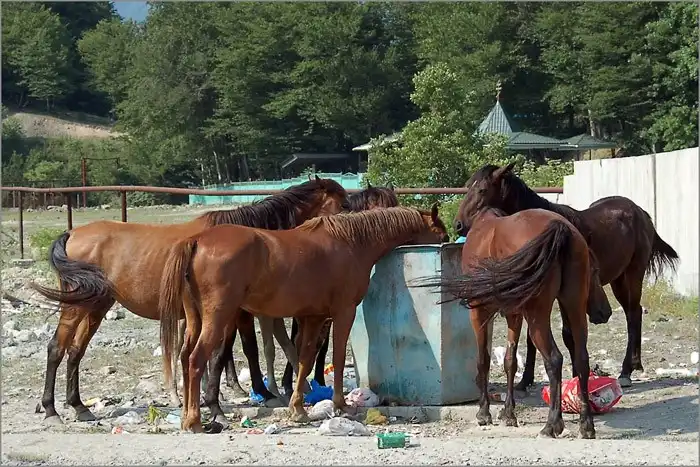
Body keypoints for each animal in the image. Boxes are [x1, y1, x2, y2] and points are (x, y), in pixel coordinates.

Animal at [30, 176, 349, 424]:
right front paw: (218, 404)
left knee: (75, 351)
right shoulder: (232, 314)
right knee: (57, 348)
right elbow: (228, 354)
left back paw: (79, 407)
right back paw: (51, 409)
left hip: (96, 306)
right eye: (344, 204)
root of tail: (72, 233)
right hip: (77, 307)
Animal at [158, 206, 449, 432]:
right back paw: (195, 421)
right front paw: (341, 405)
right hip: (218, 318)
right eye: (442, 233)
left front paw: (298, 409)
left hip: (196, 320)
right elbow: (338, 359)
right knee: (196, 360)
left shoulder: (313, 317)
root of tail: (197, 240)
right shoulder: (343, 313)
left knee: (184, 358)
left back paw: (186, 417)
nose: (449, 240)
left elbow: (304, 360)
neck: (351, 242)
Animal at [421, 207, 612, 438]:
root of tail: (561, 228)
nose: (605, 311)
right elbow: (510, 362)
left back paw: (552, 424)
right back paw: (586, 425)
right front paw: (508, 413)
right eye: (594, 271)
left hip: (537, 317)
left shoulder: (479, 313)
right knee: (581, 360)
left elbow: (483, 360)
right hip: (574, 309)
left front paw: (484, 412)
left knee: (554, 360)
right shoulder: (514, 315)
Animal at [454, 163, 680, 389]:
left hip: (633, 275)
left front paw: (575, 377)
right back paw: (636, 363)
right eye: (468, 187)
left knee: (632, 315)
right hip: (618, 280)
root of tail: (641, 212)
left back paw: (626, 371)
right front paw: (526, 380)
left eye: (482, 190)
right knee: (635, 312)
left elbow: (568, 334)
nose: (458, 225)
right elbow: (531, 338)